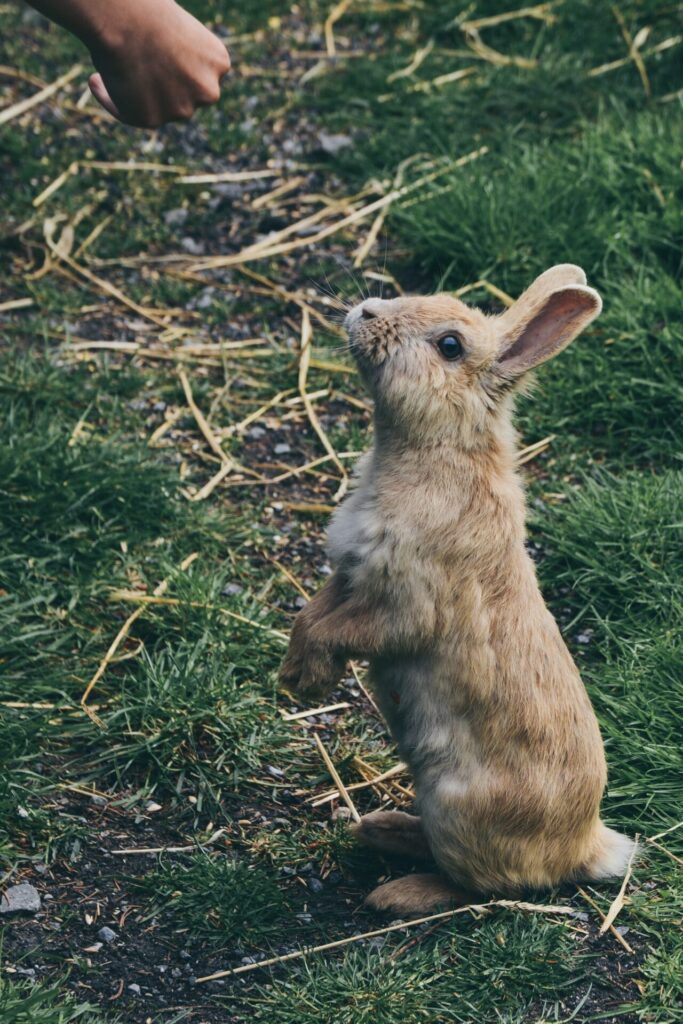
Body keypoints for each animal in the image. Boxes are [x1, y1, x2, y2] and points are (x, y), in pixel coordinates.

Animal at [278, 264, 634, 913]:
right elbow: (311, 615)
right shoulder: (349, 575)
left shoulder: (403, 604)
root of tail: (587, 846)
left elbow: (344, 630)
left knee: (477, 885)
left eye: (449, 346)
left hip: (456, 807)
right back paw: (379, 828)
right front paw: (296, 675)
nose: (366, 311)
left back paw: (395, 892)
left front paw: (308, 680)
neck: (435, 450)